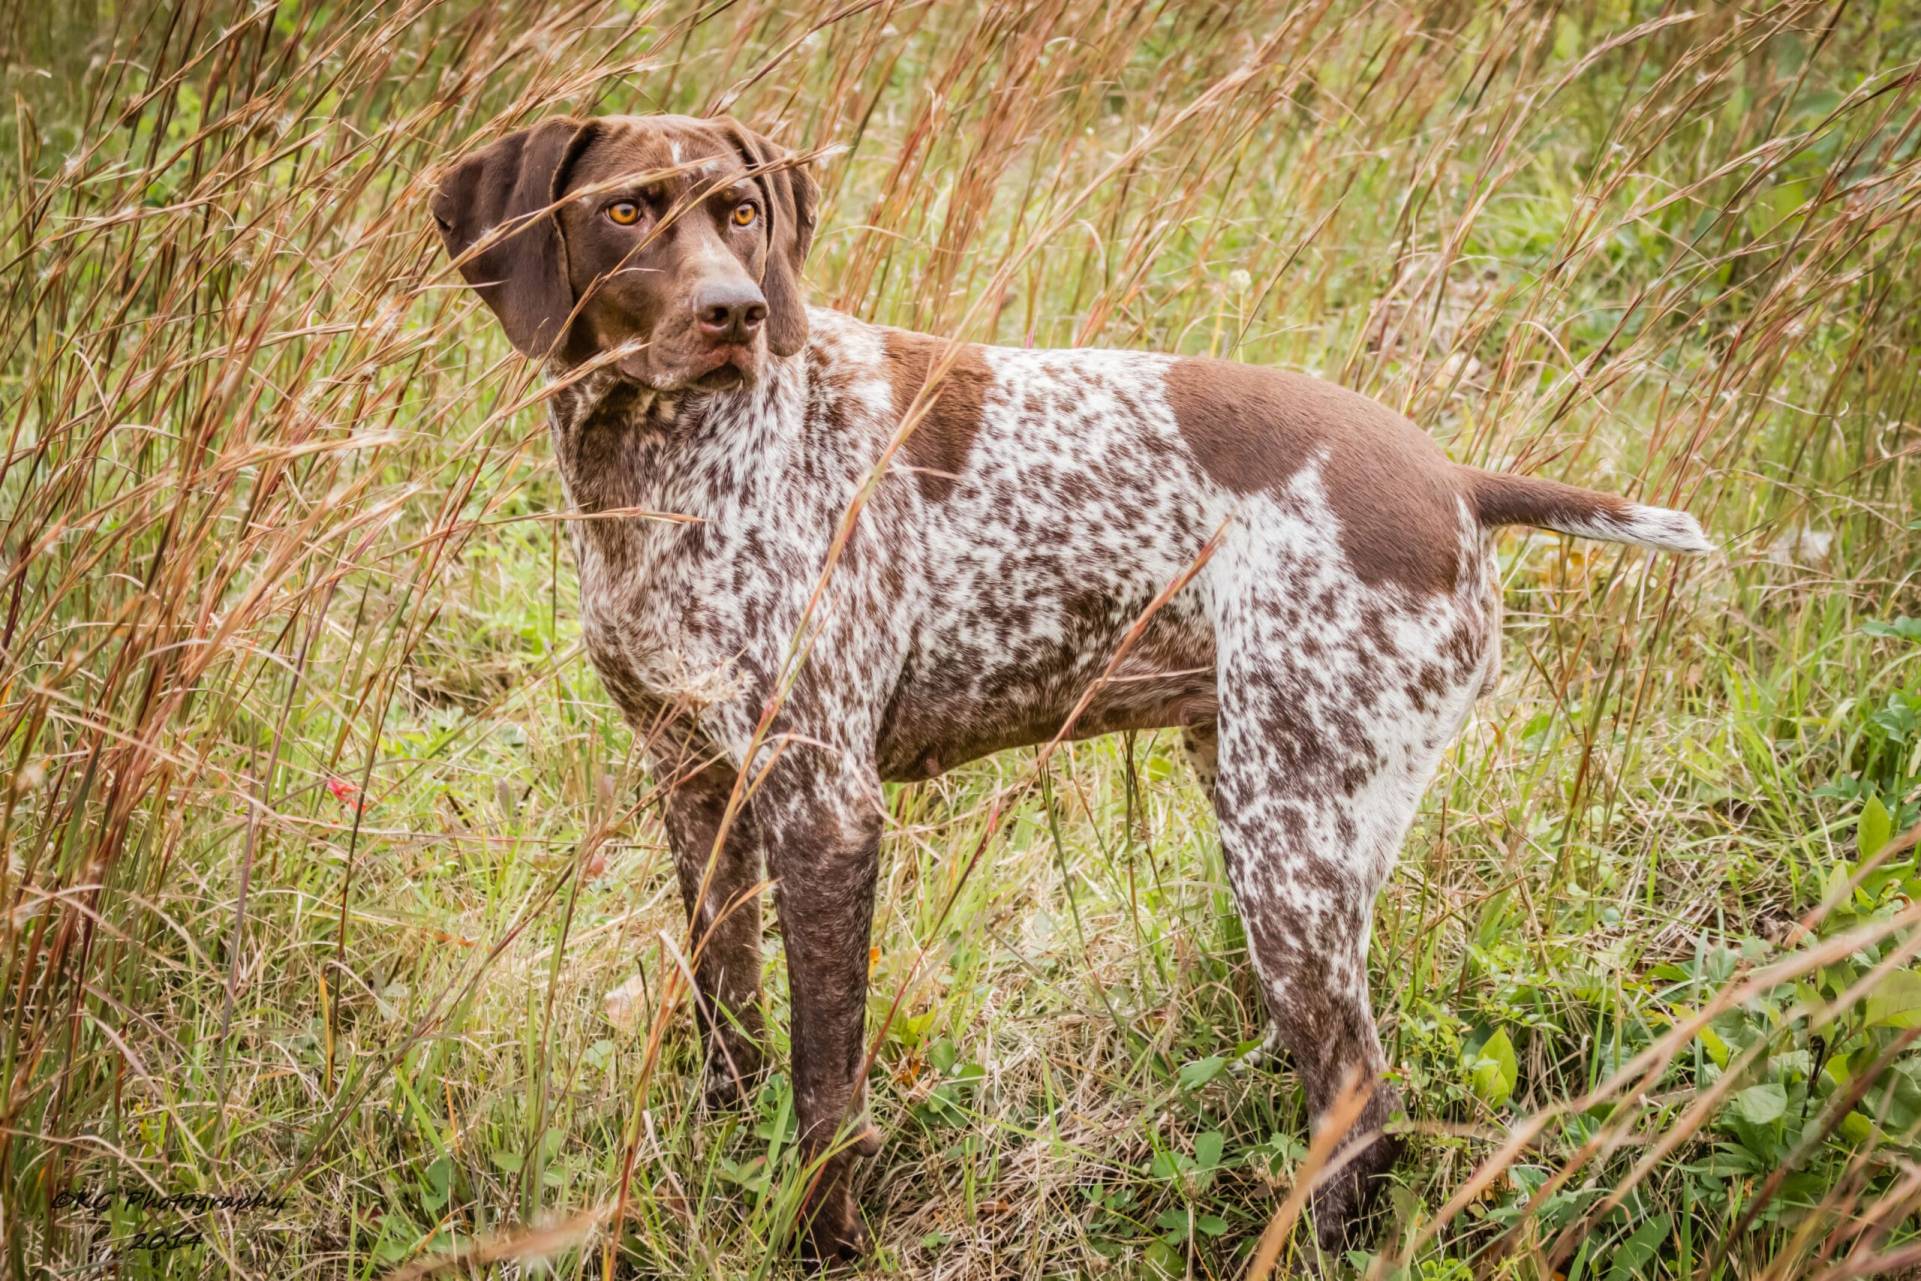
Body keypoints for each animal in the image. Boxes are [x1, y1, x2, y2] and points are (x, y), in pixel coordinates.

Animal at [432, 113, 1708, 1260]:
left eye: (740, 214)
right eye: (624, 212)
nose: (734, 313)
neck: (661, 466)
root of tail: (1453, 480)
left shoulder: (826, 808)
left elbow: (825, 1087)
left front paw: (823, 1244)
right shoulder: (695, 783)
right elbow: (727, 1027)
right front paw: (718, 1173)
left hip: (1287, 849)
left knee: (1359, 1105)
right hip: (1279, 813)